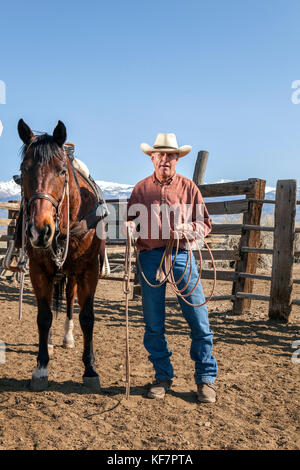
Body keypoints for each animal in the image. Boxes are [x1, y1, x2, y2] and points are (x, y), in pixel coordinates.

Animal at [17, 119, 106, 392]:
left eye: (61, 171)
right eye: (24, 169)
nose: (40, 230)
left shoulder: (89, 271)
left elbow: (87, 317)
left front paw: (90, 369)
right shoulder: (38, 271)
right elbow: (44, 317)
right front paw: (41, 367)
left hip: (73, 275)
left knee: (68, 302)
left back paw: (67, 337)